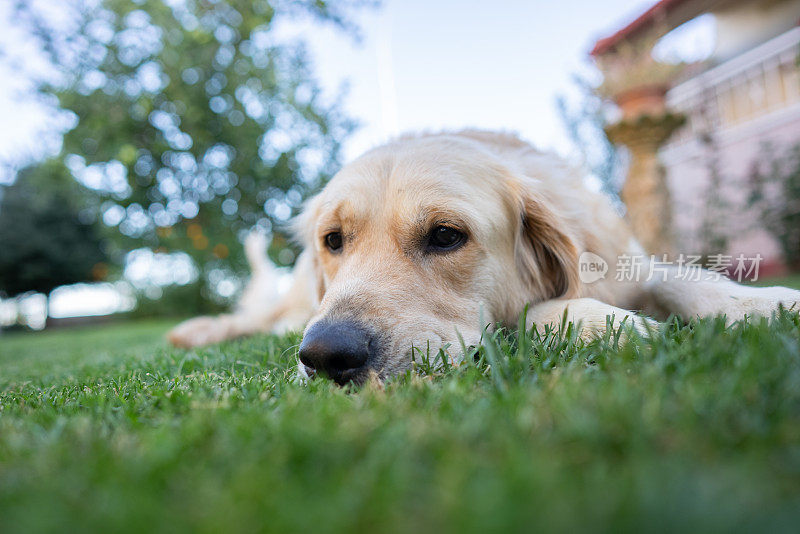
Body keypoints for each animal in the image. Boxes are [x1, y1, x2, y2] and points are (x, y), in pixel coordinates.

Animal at [169, 132, 800, 388]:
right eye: (334, 240)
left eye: (446, 236)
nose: (325, 355)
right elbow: (535, 311)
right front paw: (608, 323)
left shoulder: (631, 262)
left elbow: (689, 279)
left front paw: (767, 303)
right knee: (261, 319)